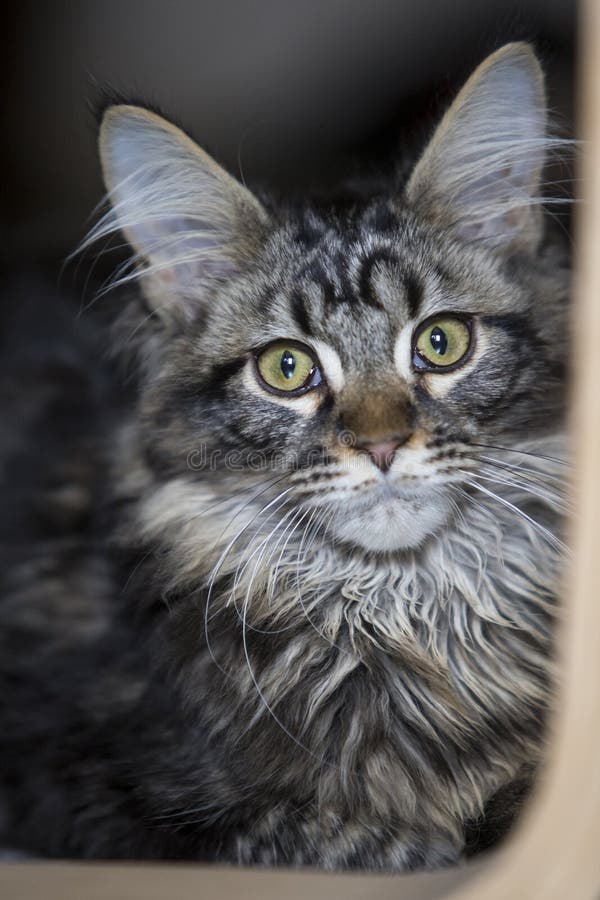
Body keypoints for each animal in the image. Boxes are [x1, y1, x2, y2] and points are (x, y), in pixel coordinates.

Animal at [0, 44, 568, 872]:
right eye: (287, 368)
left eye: (442, 342)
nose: (382, 445)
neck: (400, 608)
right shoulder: (80, 785)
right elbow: (350, 837)